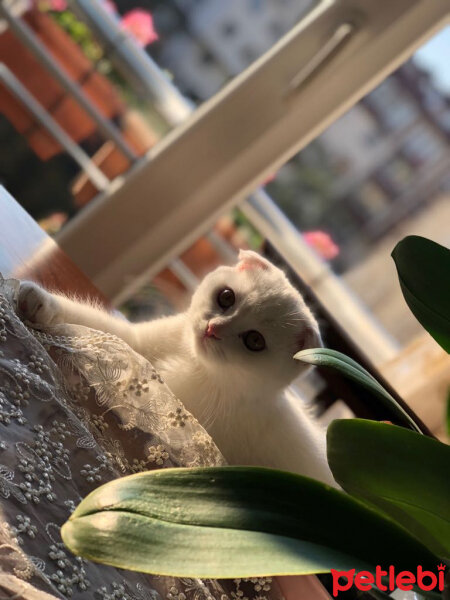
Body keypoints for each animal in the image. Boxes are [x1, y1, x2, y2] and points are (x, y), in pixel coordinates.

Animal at [20, 251, 338, 486]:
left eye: (255, 341)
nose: (212, 329)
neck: (196, 364)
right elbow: (102, 330)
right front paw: (38, 302)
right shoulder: (140, 344)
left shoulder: (177, 410)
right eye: (226, 297)